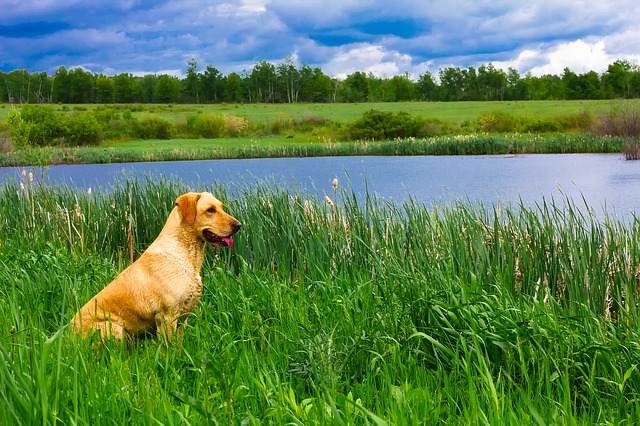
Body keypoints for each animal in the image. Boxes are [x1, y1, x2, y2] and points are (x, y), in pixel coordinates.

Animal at [72, 191, 241, 342]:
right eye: (210, 210)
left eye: (221, 207)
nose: (239, 225)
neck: (186, 255)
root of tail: (68, 333)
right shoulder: (167, 316)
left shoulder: (183, 317)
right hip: (113, 327)